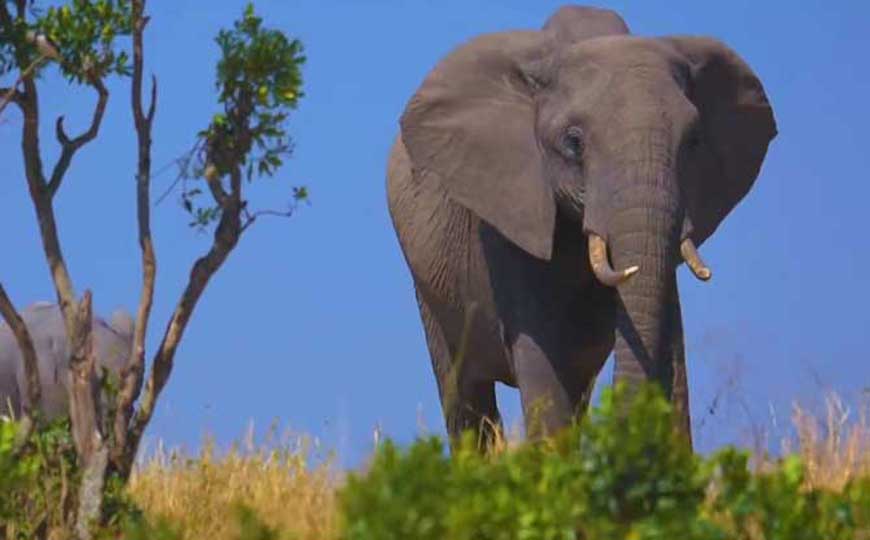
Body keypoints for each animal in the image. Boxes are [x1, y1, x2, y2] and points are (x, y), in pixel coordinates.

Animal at [387, 5, 776, 445]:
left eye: (693, 142)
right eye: (574, 143)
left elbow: (669, 343)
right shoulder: (507, 212)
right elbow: (540, 355)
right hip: (429, 286)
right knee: (464, 394)